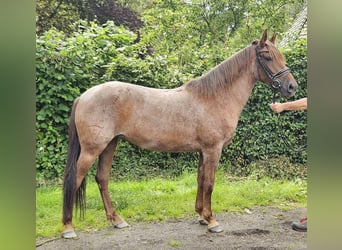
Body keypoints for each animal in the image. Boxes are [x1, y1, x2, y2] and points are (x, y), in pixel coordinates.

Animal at [61, 30, 296, 237]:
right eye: (267, 56)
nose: (292, 87)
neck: (214, 98)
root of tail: (83, 96)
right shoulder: (213, 149)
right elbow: (210, 183)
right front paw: (212, 221)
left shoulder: (203, 151)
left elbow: (200, 179)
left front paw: (201, 216)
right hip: (92, 149)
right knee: (74, 180)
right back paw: (68, 227)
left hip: (110, 145)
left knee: (102, 178)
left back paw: (117, 220)